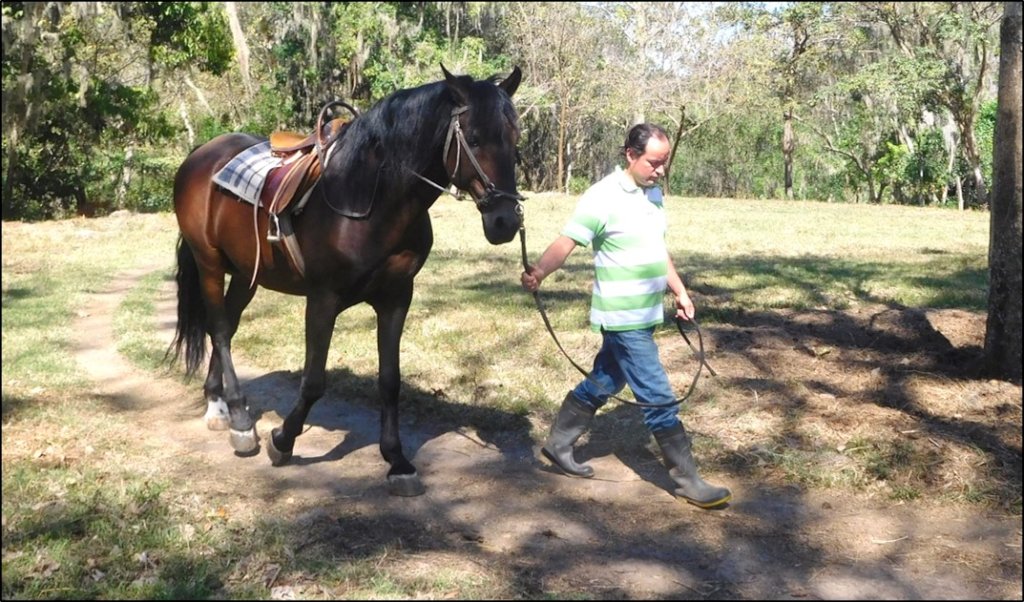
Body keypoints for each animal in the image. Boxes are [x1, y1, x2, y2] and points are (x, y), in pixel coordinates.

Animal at [169, 65, 523, 496]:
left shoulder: (396, 297)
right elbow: (313, 381)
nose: (505, 221)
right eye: (472, 138)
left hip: (245, 274)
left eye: (515, 137)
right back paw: (238, 421)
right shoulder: (323, 299)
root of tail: (201, 155)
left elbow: (390, 381)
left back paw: (217, 404)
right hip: (209, 264)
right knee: (219, 330)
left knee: (229, 328)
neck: (368, 196)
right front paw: (282, 441)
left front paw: (397, 460)